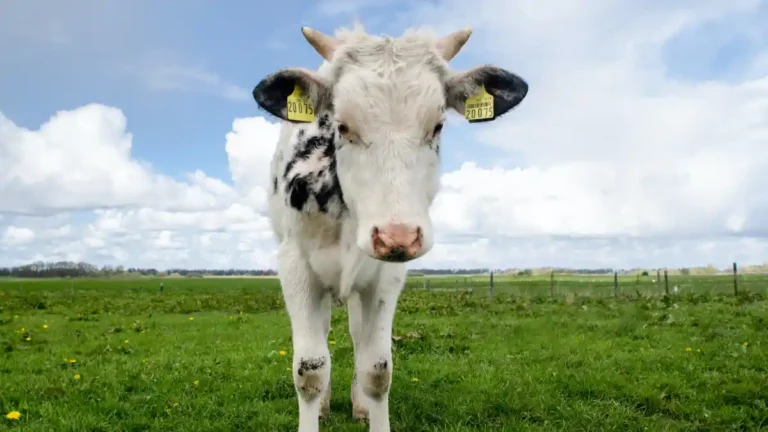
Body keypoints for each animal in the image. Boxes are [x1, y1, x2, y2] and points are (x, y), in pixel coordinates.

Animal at [252, 23, 528, 432]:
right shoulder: (295, 266)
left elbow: (377, 368)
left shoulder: (387, 275)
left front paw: (370, 405)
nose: (397, 235)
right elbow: (310, 369)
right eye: (342, 126)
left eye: (437, 126)